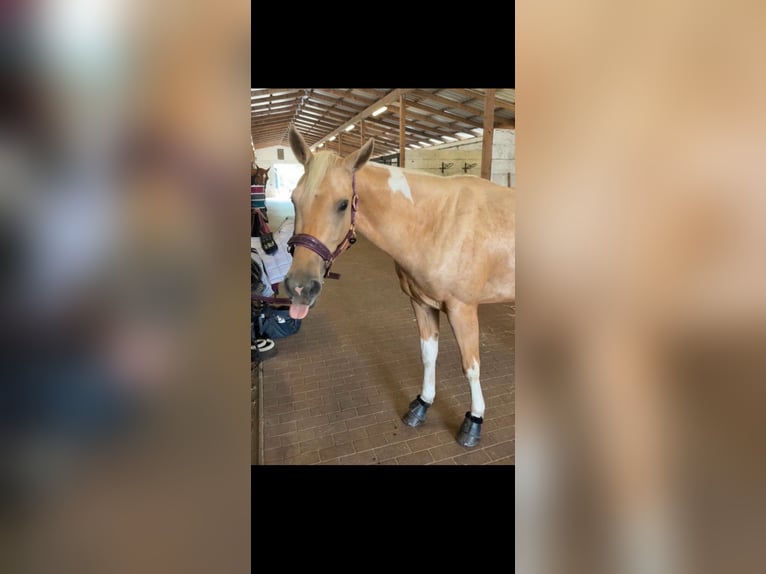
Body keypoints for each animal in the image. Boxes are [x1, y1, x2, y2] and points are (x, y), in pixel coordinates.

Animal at [283, 127, 515, 447]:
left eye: (343, 203)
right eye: (294, 199)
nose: (300, 287)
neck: (437, 223)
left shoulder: (463, 309)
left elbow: (470, 366)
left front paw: (474, 420)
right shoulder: (421, 304)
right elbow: (428, 355)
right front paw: (422, 404)